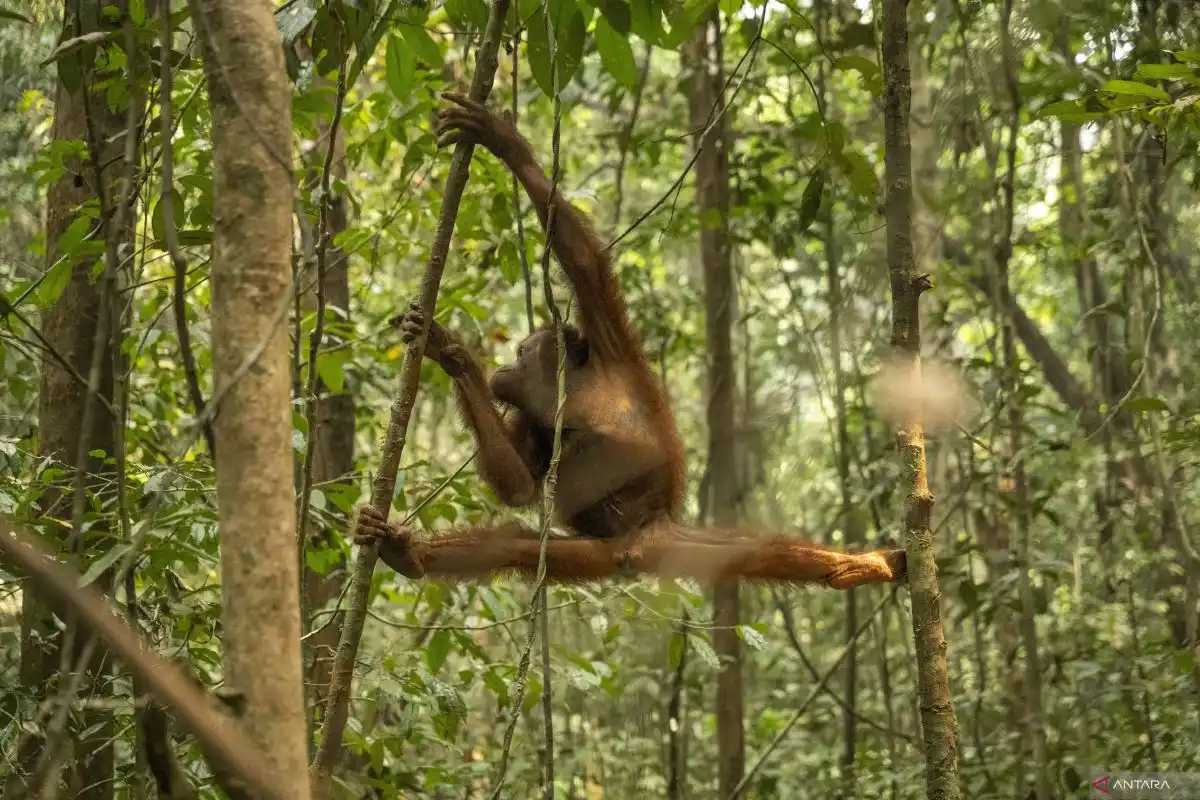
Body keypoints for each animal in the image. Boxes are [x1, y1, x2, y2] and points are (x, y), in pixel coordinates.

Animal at [352, 92, 906, 590]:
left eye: (522, 351)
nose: (504, 367)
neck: (572, 390)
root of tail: (641, 550)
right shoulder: (533, 420)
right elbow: (519, 484)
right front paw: (452, 355)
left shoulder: (611, 343)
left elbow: (583, 262)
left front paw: (503, 142)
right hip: (595, 553)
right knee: (514, 545)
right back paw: (409, 553)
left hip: (674, 541)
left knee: (761, 549)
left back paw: (858, 566)